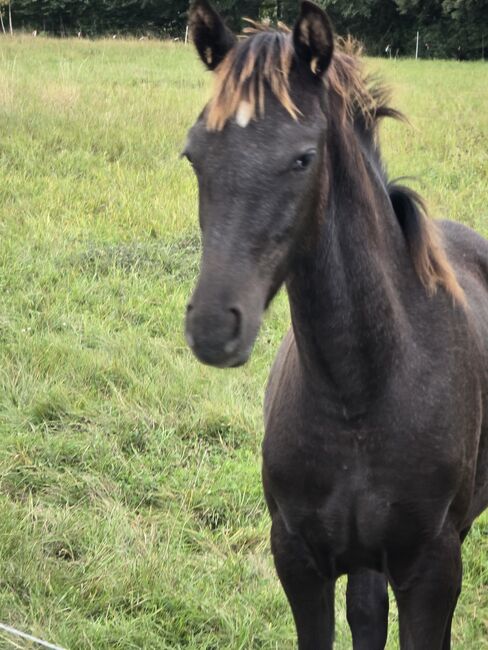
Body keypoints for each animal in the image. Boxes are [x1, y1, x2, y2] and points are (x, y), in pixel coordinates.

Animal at [183, 2, 488, 644]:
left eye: (303, 157)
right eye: (194, 153)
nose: (213, 327)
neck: (361, 392)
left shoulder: (433, 570)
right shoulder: (299, 559)